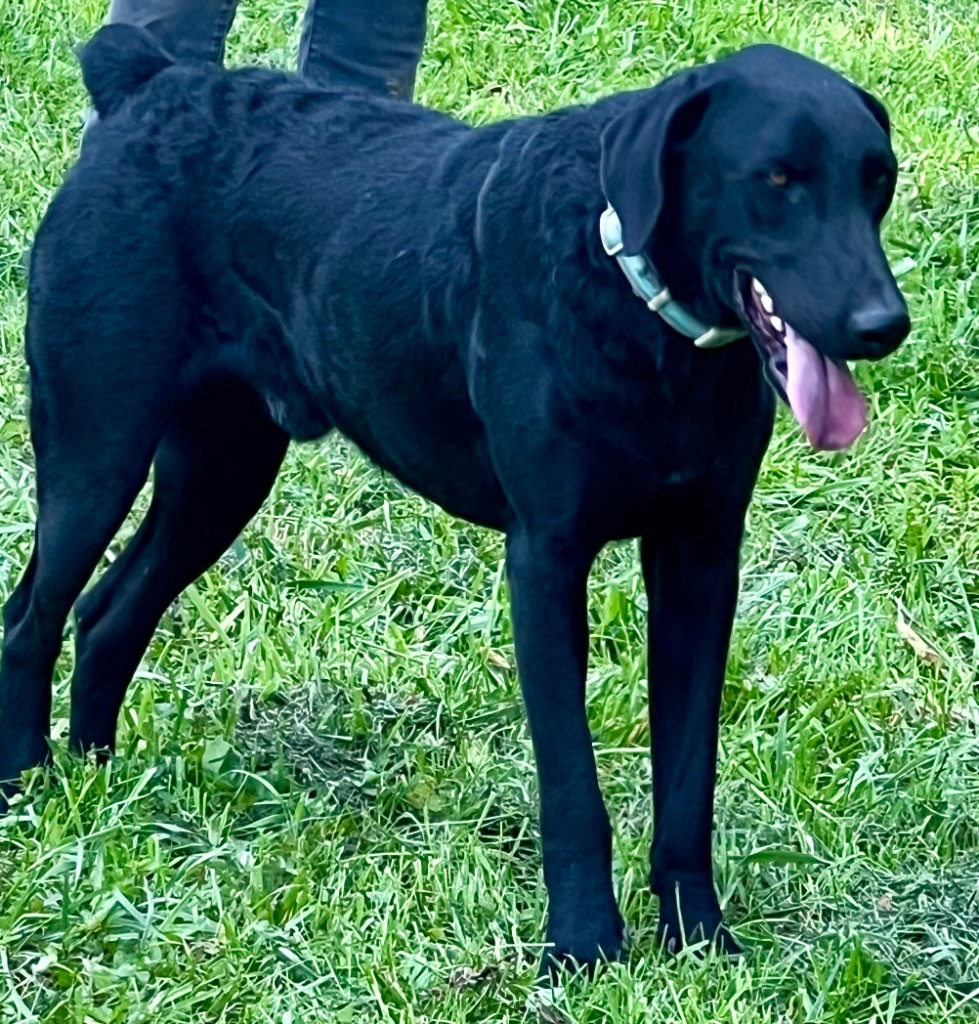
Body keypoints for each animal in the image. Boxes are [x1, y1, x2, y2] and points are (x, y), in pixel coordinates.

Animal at [0, 24, 909, 966]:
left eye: (876, 180)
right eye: (776, 180)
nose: (884, 325)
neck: (631, 311)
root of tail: (152, 87)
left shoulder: (700, 561)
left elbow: (688, 780)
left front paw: (697, 938)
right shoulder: (545, 560)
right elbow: (571, 787)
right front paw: (583, 945)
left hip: (221, 474)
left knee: (109, 613)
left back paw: (99, 775)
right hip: (97, 448)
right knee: (34, 613)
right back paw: (28, 779)